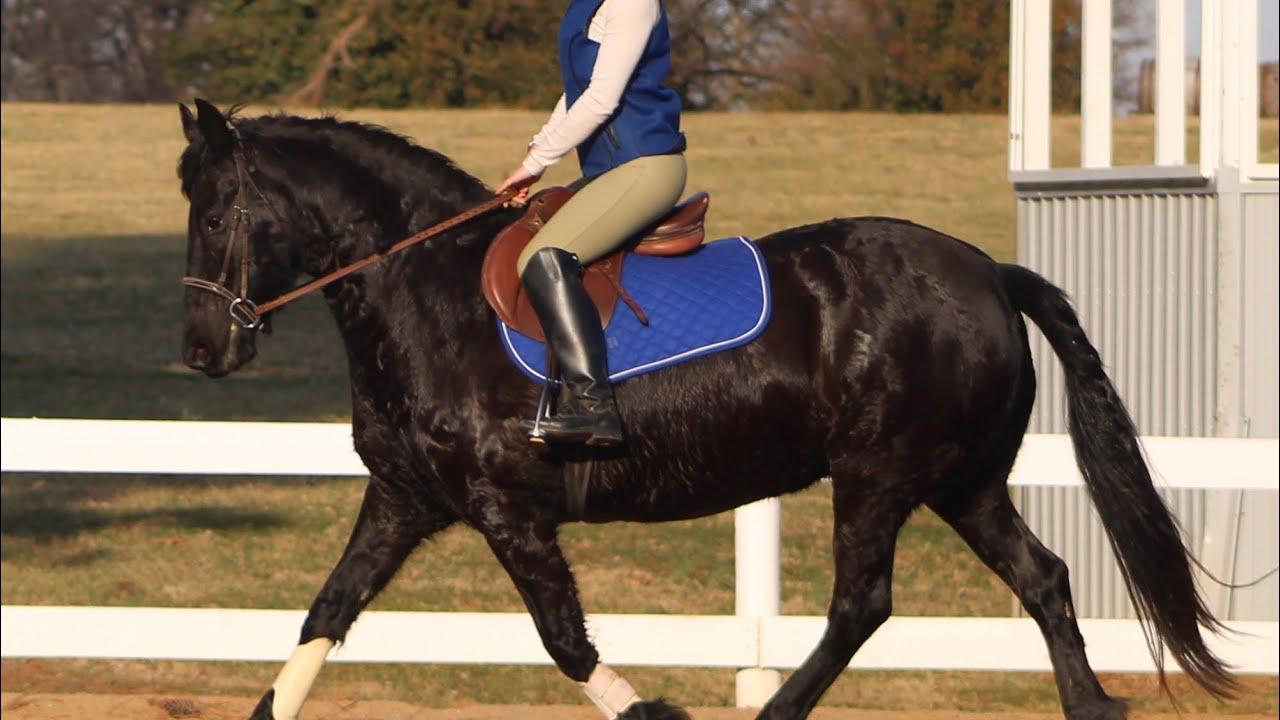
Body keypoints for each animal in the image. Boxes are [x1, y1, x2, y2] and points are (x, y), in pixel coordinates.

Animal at [176, 98, 1234, 720]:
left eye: (218, 211)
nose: (202, 352)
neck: (423, 290)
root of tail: (985, 270)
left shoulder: (507, 510)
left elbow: (564, 642)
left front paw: (653, 712)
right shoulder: (406, 499)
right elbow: (325, 613)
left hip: (881, 473)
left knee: (862, 603)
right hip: (962, 481)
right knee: (1044, 579)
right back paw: (1090, 706)